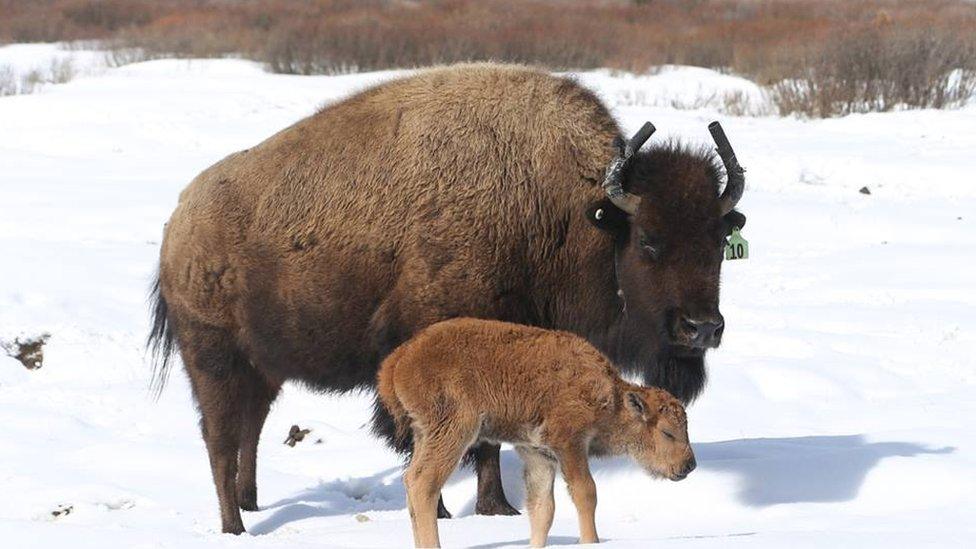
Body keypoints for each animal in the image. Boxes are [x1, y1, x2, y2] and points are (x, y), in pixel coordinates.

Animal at [376, 318, 692, 544]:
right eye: (667, 432)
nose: (689, 465)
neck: (612, 398)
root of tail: (400, 358)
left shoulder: (538, 454)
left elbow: (543, 509)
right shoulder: (570, 444)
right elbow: (586, 493)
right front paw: (591, 541)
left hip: (424, 434)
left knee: (412, 481)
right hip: (453, 432)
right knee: (424, 484)